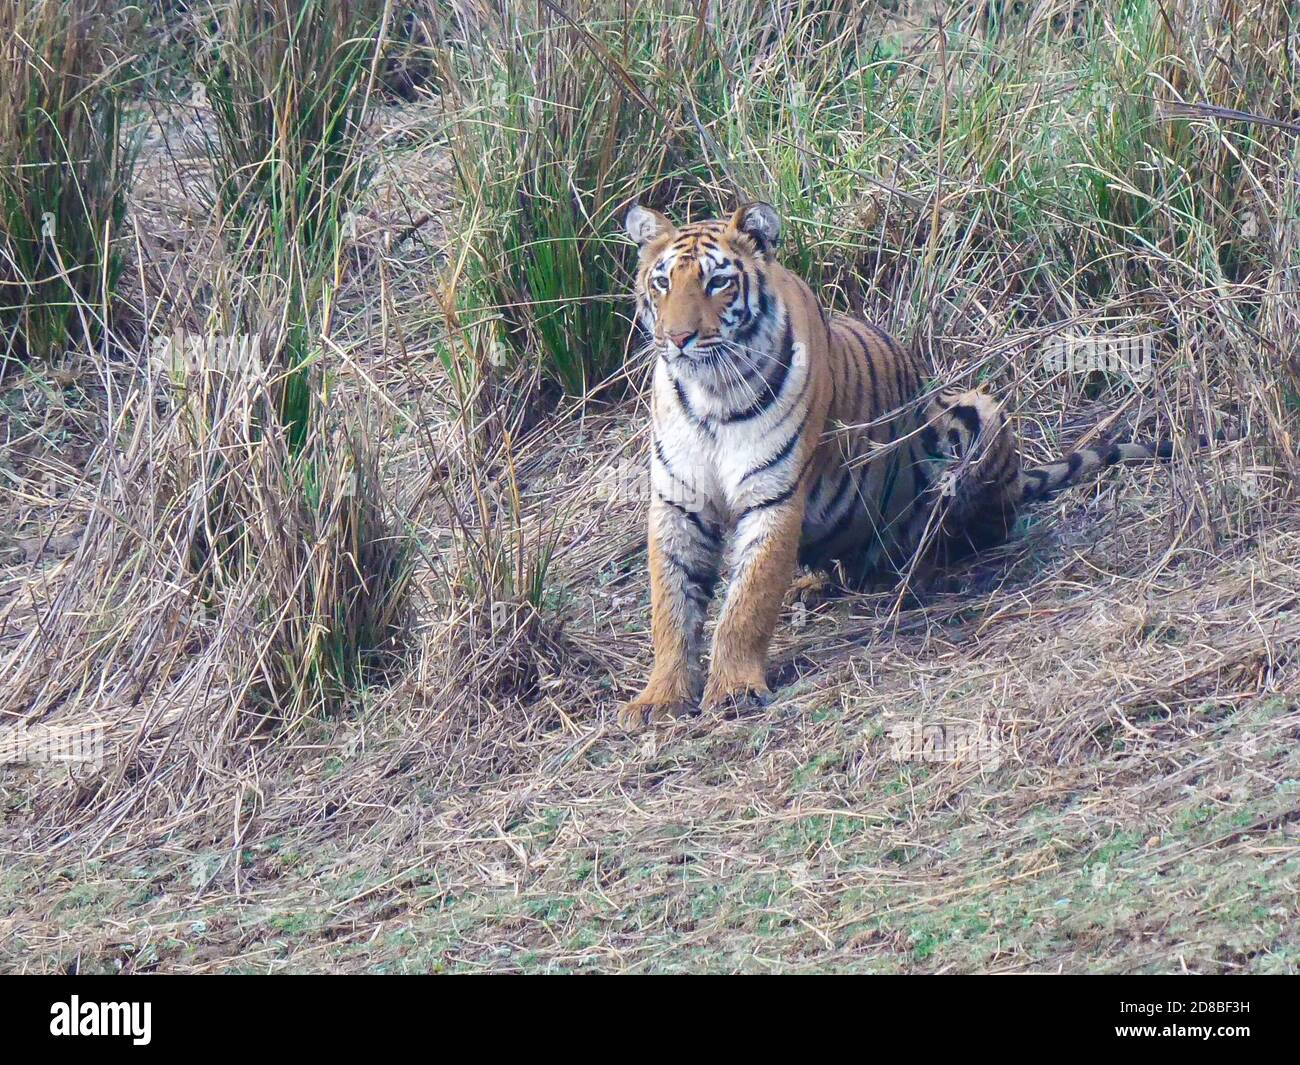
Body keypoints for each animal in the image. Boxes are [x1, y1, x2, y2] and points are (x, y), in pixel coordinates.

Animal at [618, 201, 1180, 729]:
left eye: (718, 282)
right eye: (662, 282)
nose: (677, 339)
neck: (711, 394)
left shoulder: (774, 496)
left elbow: (748, 600)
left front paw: (733, 689)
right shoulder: (677, 500)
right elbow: (671, 605)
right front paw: (660, 698)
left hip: (974, 411)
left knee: (974, 531)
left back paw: (914, 572)